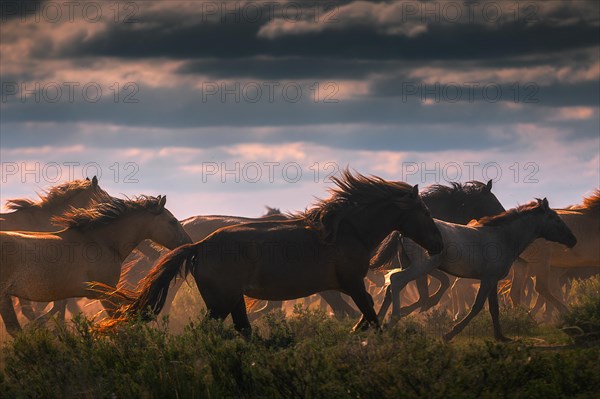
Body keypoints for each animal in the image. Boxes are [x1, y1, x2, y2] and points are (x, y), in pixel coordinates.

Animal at [0, 195, 192, 336]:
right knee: (14, 329)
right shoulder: (106, 292)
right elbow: (118, 323)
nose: (188, 243)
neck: (101, 242)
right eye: (173, 221)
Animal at [101, 171, 442, 334]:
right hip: (220, 303)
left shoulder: (342, 288)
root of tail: (199, 246)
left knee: (243, 330)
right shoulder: (351, 284)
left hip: (232, 300)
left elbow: (362, 317)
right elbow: (368, 317)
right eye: (425, 211)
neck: (346, 231)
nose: (438, 243)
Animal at [380, 198, 576, 342]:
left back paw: (376, 325)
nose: (573, 240)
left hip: (411, 265)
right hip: (421, 266)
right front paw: (449, 334)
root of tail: (403, 232)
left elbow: (494, 308)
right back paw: (392, 320)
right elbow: (477, 306)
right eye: (557, 219)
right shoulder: (487, 279)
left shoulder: (493, 280)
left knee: (391, 289)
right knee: (396, 281)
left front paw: (501, 337)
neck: (502, 238)